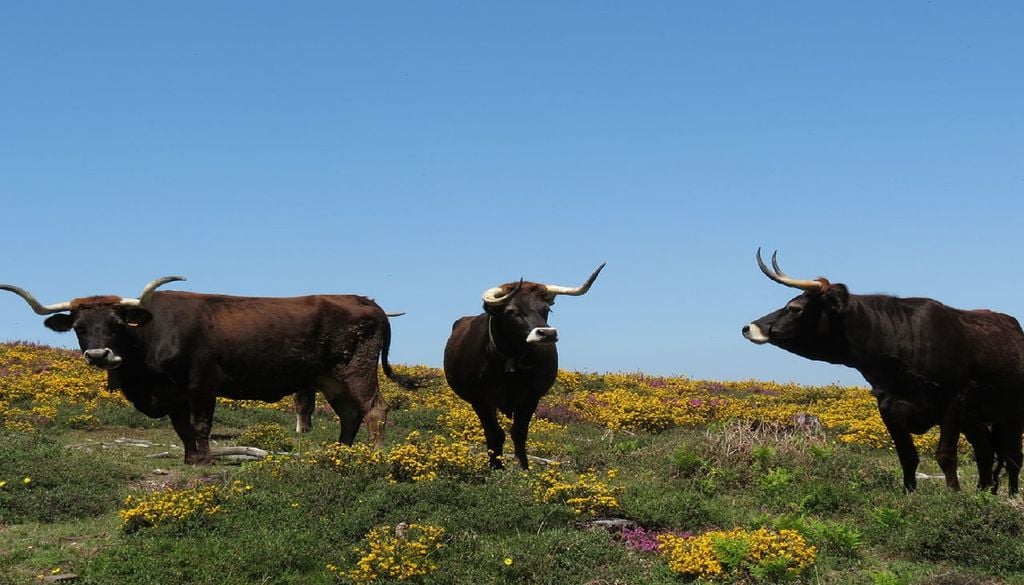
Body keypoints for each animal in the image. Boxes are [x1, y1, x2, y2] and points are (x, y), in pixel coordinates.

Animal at [0, 277, 421, 464]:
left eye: (118, 324)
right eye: (79, 327)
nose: (99, 354)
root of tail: (366, 300)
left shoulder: (202, 384)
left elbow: (200, 425)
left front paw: (203, 461)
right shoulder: (172, 395)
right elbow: (182, 429)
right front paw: (191, 460)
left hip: (356, 370)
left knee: (375, 410)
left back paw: (373, 456)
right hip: (328, 378)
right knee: (350, 414)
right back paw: (338, 454)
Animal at [444, 264, 605, 469]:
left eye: (546, 310)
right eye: (512, 311)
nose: (547, 334)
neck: (509, 361)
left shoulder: (531, 397)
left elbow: (519, 432)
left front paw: (523, 467)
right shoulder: (479, 400)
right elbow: (494, 433)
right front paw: (496, 466)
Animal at [742, 249, 1024, 493]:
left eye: (795, 308)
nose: (749, 327)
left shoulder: (954, 399)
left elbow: (945, 454)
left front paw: (953, 494)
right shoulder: (888, 407)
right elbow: (907, 457)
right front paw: (909, 494)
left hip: (1010, 415)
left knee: (1012, 458)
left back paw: (1009, 494)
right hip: (975, 421)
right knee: (986, 452)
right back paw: (983, 492)